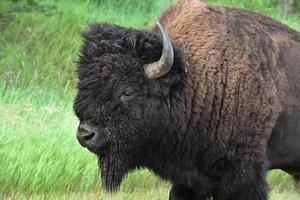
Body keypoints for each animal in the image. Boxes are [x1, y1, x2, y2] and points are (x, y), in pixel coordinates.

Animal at [73, 0, 300, 199]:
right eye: (82, 83)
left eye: (127, 91)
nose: (85, 134)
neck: (192, 80)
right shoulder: (191, 180)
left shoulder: (241, 172)